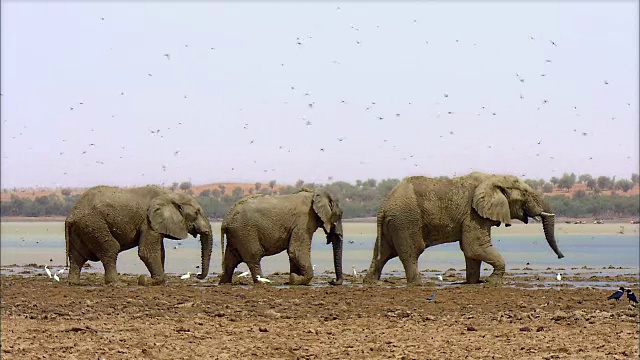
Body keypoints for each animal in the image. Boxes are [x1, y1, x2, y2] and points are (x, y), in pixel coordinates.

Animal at [66, 186, 214, 284]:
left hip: (81, 229)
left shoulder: (156, 224)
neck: (171, 195)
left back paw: (74, 283)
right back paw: (116, 284)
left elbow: (160, 252)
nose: (198, 275)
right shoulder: (148, 222)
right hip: (94, 224)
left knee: (77, 256)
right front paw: (151, 280)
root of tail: (70, 215)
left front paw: (157, 280)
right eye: (196, 212)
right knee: (111, 249)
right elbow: (147, 252)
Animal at [364, 173, 564, 286]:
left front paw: (473, 282)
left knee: (382, 253)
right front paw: (492, 282)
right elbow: (474, 246)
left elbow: (472, 251)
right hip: (405, 221)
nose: (561, 257)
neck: (492, 178)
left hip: (394, 223)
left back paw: (370, 283)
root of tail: (383, 206)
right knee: (411, 252)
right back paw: (418, 284)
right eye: (525, 194)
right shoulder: (473, 213)